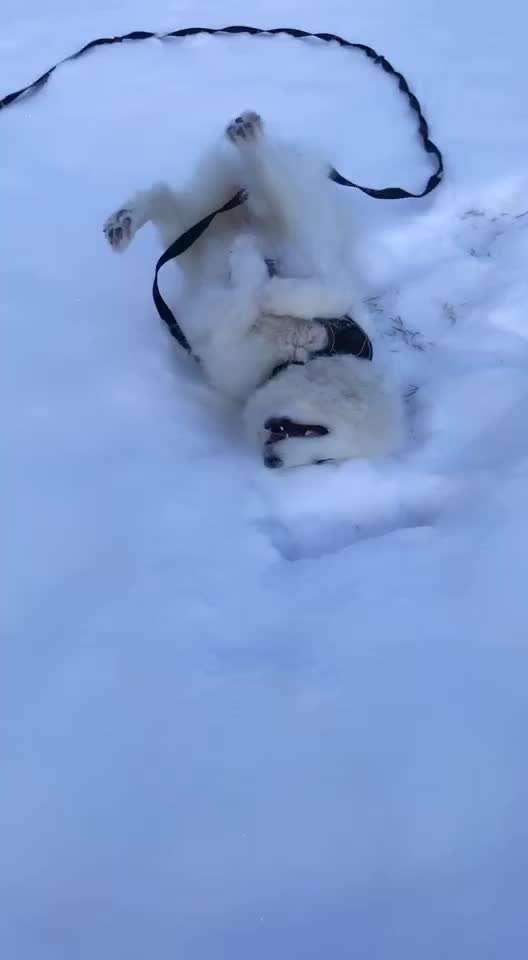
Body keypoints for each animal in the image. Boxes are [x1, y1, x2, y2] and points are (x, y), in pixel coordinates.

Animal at [103, 110, 402, 466]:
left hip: (192, 240)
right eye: (320, 439)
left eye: (322, 463)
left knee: (167, 199)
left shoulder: (223, 344)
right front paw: (262, 277)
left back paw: (126, 223)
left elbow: (245, 299)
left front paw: (249, 266)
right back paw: (247, 136)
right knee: (273, 185)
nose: (272, 464)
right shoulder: (325, 277)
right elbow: (318, 290)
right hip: (291, 213)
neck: (299, 355)